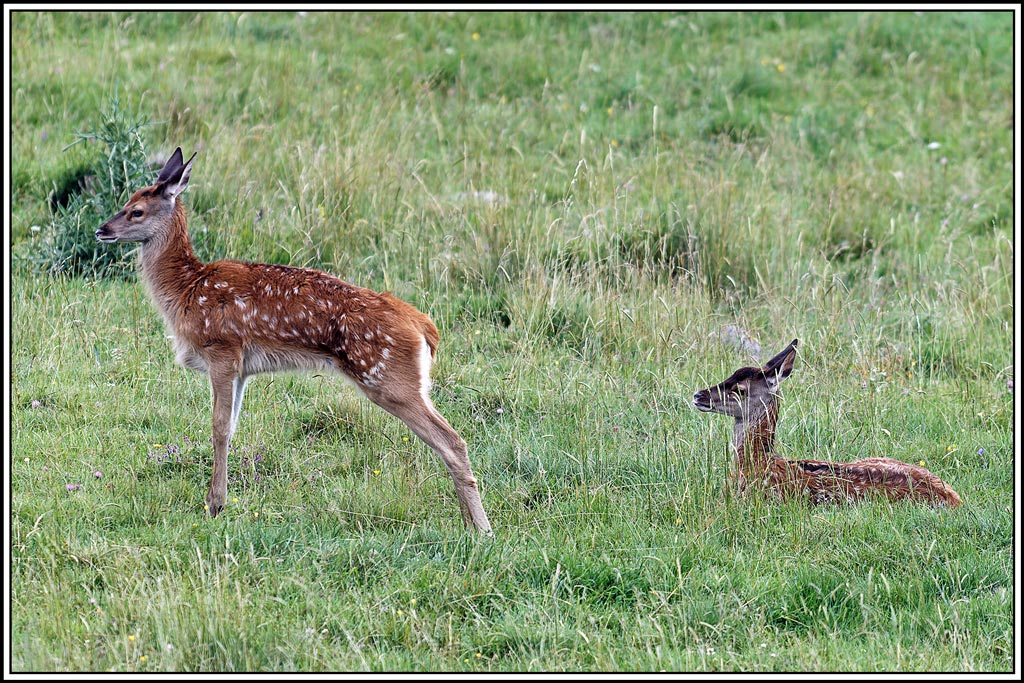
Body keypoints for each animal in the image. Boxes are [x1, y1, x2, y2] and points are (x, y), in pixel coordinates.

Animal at [95, 148, 492, 532]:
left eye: (136, 211)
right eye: (127, 200)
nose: (102, 230)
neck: (186, 290)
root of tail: (424, 327)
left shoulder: (221, 350)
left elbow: (218, 428)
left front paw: (215, 505)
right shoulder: (242, 369)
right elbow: (233, 426)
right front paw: (220, 501)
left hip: (389, 378)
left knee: (452, 441)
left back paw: (481, 529)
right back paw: (469, 522)